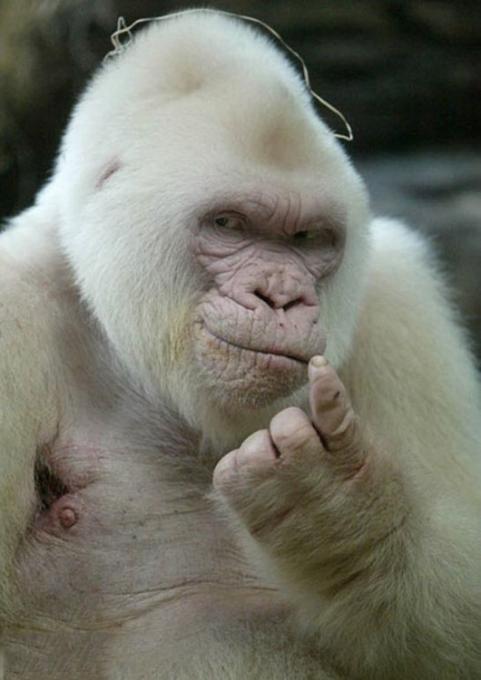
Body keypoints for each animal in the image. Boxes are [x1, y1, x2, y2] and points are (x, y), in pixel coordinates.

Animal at [0, 9, 480, 680]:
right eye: (228, 225)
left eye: (309, 239)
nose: (279, 296)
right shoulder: (9, 309)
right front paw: (328, 506)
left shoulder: (397, 299)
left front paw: (337, 518)